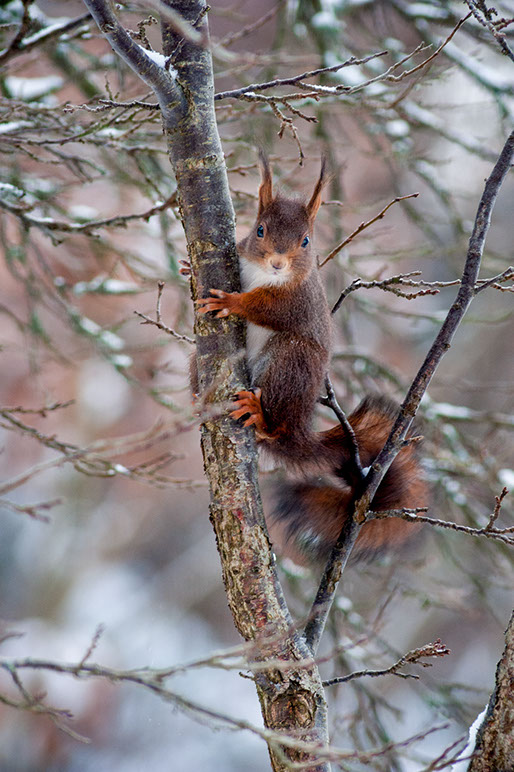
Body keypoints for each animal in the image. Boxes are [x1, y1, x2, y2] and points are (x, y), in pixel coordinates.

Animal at [196, 152, 426, 564]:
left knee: (276, 427)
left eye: (305, 241)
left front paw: (234, 302)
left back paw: (261, 417)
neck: (263, 276)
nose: (278, 263)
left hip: (289, 363)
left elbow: (269, 308)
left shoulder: (297, 301)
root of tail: (301, 430)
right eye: (259, 230)